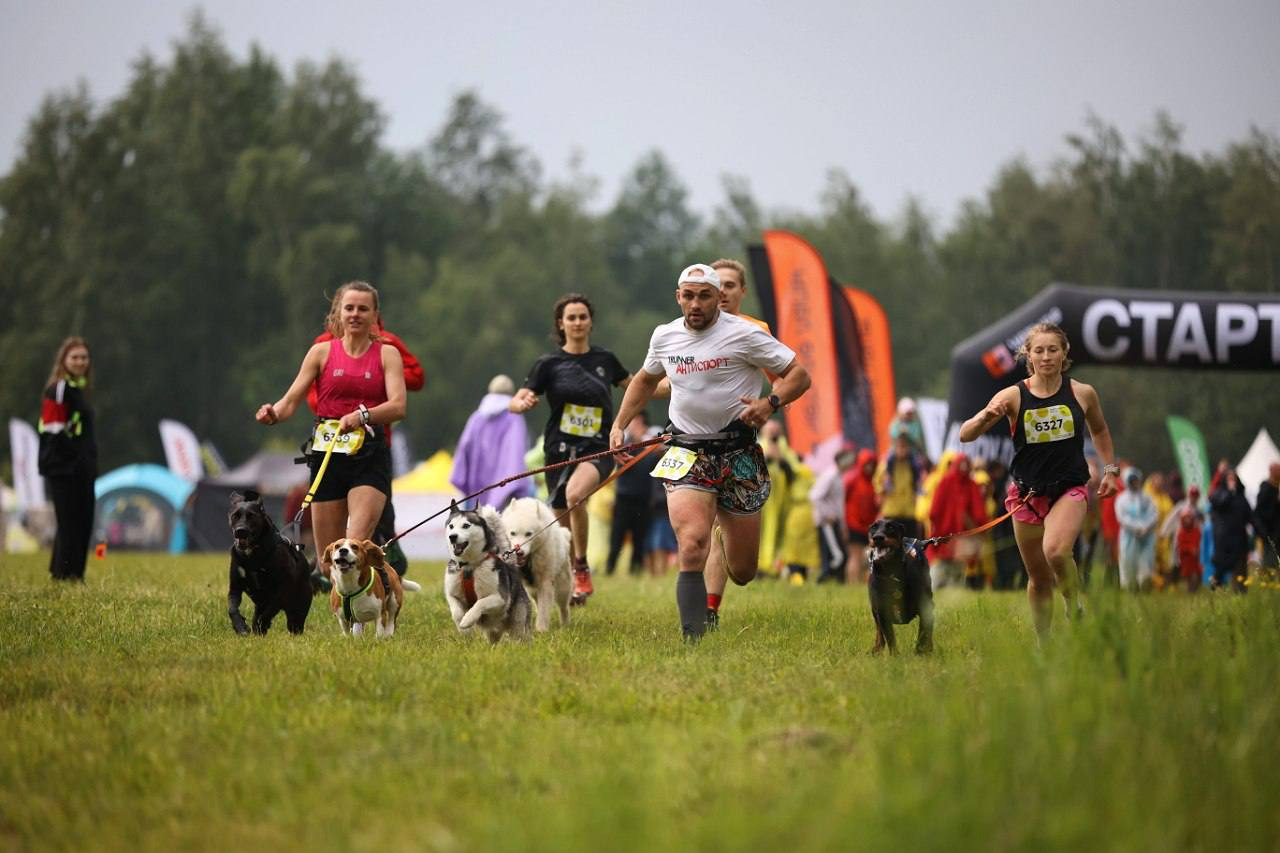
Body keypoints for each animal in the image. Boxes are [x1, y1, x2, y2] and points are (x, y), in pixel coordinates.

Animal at [229, 491, 313, 630]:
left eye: (252, 516)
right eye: (235, 515)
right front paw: (240, 626)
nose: (240, 531)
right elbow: (232, 609)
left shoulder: (283, 586)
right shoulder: (235, 586)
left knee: (294, 624)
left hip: (298, 610)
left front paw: (263, 622)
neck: (252, 554)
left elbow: (271, 608)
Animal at [448, 502, 532, 640]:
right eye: (451, 526)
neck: (469, 567)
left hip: (519, 620)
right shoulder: (452, 593)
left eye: (466, 525)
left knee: (520, 633)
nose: (452, 537)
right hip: (492, 632)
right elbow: (456, 610)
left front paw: (468, 619)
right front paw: (463, 627)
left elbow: (480, 602)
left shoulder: (500, 598)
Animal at [501, 494, 573, 627]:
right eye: (512, 533)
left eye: (529, 534)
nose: (519, 552)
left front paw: (541, 628)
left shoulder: (545, 582)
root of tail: (565, 537)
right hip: (532, 589)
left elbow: (544, 609)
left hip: (562, 587)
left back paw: (565, 624)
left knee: (563, 606)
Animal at [865, 517, 936, 650]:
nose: (877, 538)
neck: (892, 573)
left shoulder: (925, 609)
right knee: (879, 630)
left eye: (891, 527)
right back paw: (877, 648)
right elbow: (891, 640)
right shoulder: (882, 612)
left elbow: (922, 636)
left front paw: (921, 652)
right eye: (873, 527)